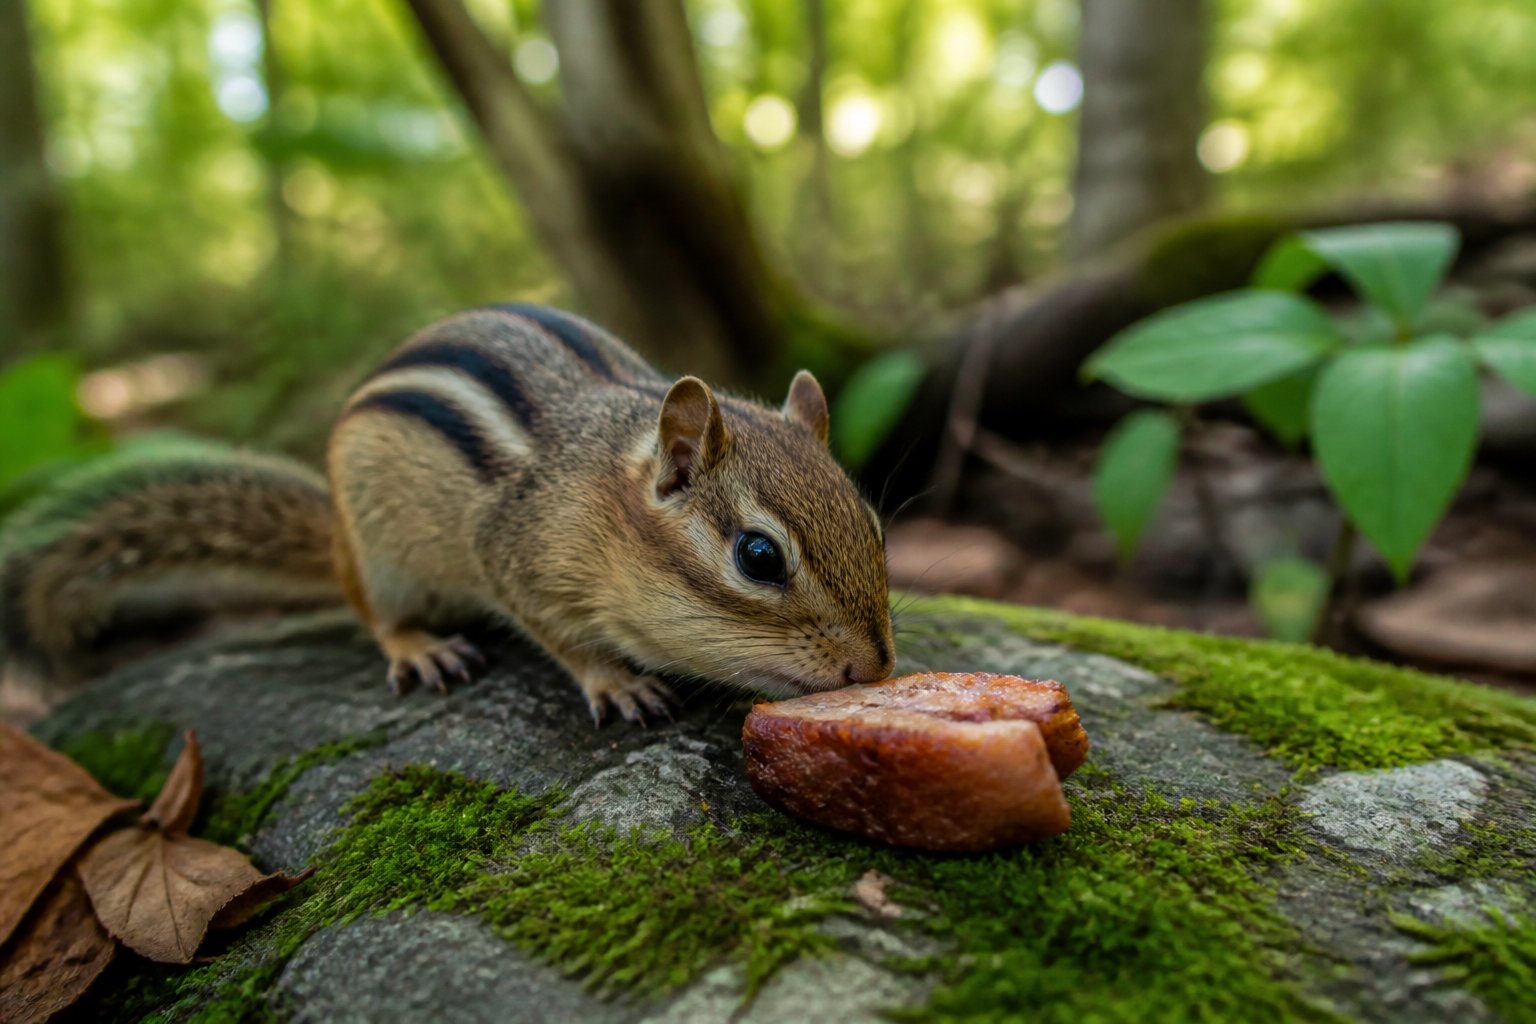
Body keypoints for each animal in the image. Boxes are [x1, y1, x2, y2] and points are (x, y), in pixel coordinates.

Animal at [0, 304, 896, 723]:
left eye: (876, 528)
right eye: (758, 557)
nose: (876, 670)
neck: (602, 491)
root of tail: (335, 541)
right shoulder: (511, 556)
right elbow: (563, 637)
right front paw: (616, 682)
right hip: (379, 560)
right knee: (379, 617)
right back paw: (420, 647)